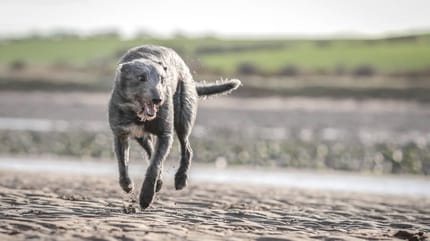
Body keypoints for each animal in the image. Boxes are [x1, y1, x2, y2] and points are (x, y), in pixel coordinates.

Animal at [108, 45, 242, 209]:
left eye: (162, 79)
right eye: (141, 78)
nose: (158, 99)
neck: (138, 113)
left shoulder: (165, 134)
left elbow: (155, 165)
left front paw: (146, 196)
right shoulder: (120, 133)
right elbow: (123, 162)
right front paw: (127, 184)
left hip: (182, 118)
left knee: (187, 149)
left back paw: (180, 179)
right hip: (142, 136)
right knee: (150, 149)